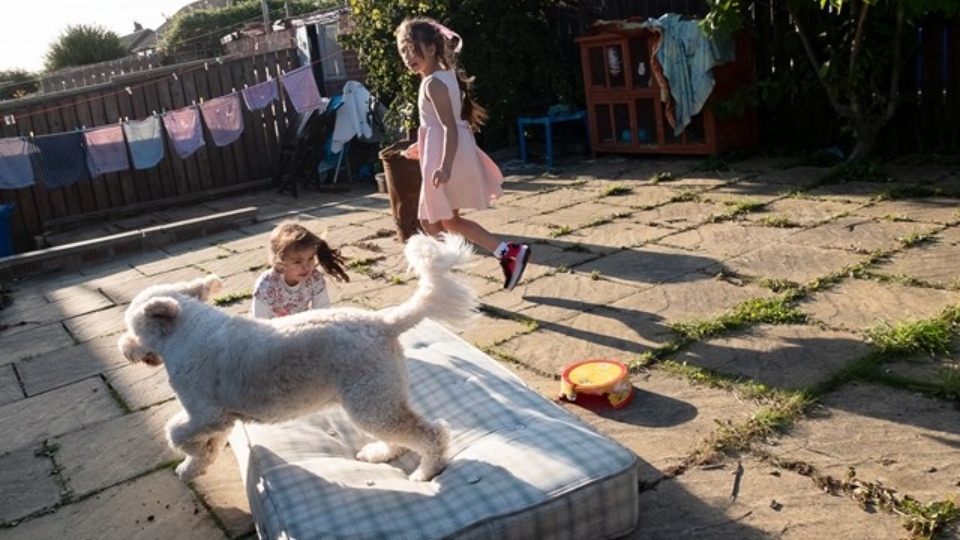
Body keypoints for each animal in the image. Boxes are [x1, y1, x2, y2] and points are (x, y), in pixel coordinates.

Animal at [118, 232, 478, 480]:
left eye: (132, 328)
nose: (125, 348)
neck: (187, 330)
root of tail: (383, 323)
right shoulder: (216, 419)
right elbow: (207, 444)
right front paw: (196, 464)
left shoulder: (207, 414)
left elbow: (175, 432)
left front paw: (192, 456)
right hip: (378, 399)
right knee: (401, 435)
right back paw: (381, 453)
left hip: (371, 402)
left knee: (431, 434)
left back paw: (426, 472)